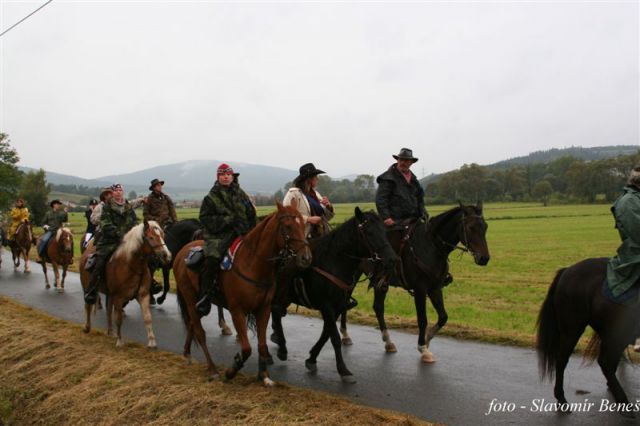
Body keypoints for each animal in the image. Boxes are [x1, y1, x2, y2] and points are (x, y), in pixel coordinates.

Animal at [174, 201, 312, 384]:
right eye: (288, 226)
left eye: (303, 225)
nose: (306, 258)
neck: (252, 263)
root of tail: (181, 253)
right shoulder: (237, 311)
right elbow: (246, 348)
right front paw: (232, 370)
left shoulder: (263, 310)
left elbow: (262, 344)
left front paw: (264, 376)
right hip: (190, 299)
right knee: (199, 332)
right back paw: (212, 369)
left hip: (199, 304)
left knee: (191, 324)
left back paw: (187, 353)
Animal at [268, 208, 398, 384]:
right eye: (369, 232)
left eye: (385, 232)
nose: (392, 259)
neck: (332, 263)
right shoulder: (327, 307)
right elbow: (334, 337)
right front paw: (344, 370)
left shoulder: (337, 307)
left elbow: (326, 334)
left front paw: (312, 358)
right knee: (273, 312)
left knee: (276, 313)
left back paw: (281, 347)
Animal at [338, 201, 488, 362]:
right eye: (470, 227)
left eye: (485, 226)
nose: (484, 258)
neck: (431, 246)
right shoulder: (420, 289)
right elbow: (422, 319)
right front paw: (423, 348)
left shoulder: (435, 288)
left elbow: (443, 317)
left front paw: (427, 340)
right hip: (352, 276)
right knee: (346, 300)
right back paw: (345, 335)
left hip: (380, 283)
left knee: (378, 307)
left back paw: (388, 342)